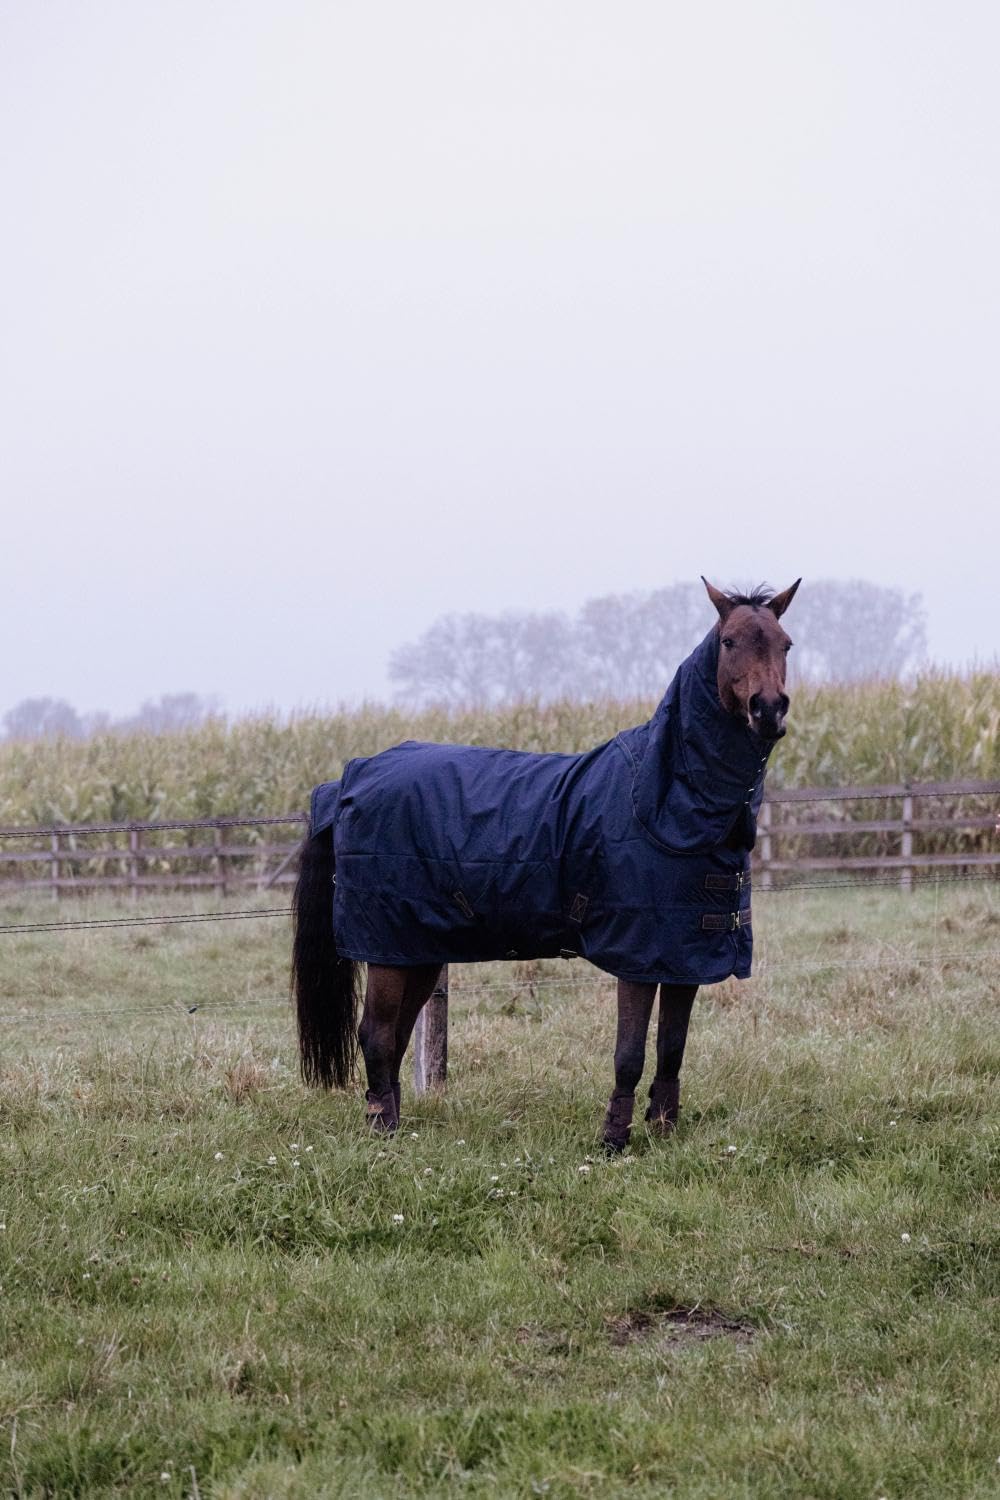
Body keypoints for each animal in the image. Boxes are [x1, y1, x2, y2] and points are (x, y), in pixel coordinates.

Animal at [292, 577, 799, 1151]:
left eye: (785, 644)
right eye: (730, 641)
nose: (768, 709)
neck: (660, 800)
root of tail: (349, 779)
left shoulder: (682, 956)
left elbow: (672, 1047)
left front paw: (664, 1130)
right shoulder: (638, 956)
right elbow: (630, 1052)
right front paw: (613, 1140)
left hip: (414, 951)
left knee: (396, 1034)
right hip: (386, 946)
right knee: (375, 1034)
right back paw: (384, 1131)